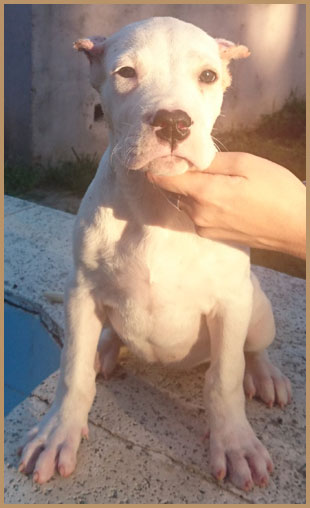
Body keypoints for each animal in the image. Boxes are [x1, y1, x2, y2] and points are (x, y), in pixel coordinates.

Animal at [18, 17, 290, 490]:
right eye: (126, 72)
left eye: (208, 75)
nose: (173, 123)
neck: (155, 204)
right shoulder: (80, 291)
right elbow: (72, 371)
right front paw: (58, 432)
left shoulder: (230, 301)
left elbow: (224, 378)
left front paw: (235, 444)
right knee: (106, 336)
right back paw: (105, 351)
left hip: (255, 309)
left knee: (252, 349)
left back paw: (265, 375)